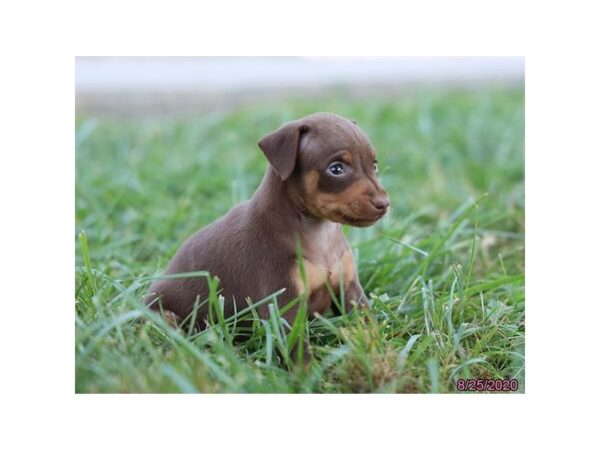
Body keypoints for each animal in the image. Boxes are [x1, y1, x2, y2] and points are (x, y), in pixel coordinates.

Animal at [145, 112, 390, 328]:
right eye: (336, 169)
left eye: (375, 164)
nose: (384, 204)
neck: (319, 232)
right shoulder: (282, 299)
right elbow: (296, 347)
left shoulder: (350, 289)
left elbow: (366, 327)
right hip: (163, 315)